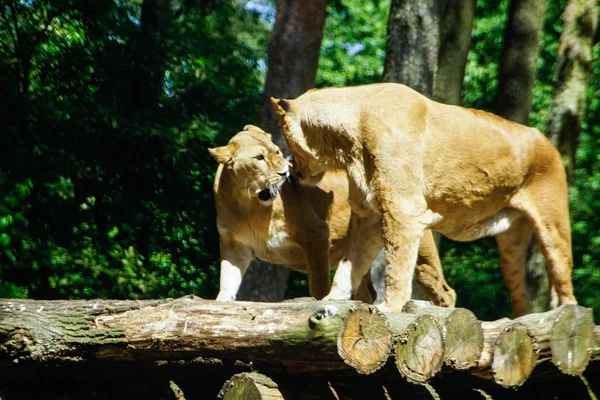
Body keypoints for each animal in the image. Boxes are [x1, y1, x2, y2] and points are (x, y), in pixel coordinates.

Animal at [211, 123, 454, 304]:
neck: (249, 203)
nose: (284, 172)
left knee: (445, 292)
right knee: (367, 293)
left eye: (277, 152)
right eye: (259, 158)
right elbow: (227, 281)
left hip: (418, 252)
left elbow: (319, 289)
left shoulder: (316, 234)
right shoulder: (235, 245)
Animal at [272, 83, 576, 318]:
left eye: (282, 136)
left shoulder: (403, 211)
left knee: (563, 278)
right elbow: (350, 265)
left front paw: (389, 308)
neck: (345, 143)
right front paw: (330, 300)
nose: (291, 167)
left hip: (552, 222)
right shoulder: (368, 215)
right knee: (522, 296)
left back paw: (566, 316)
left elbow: (395, 268)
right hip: (510, 246)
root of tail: (544, 138)